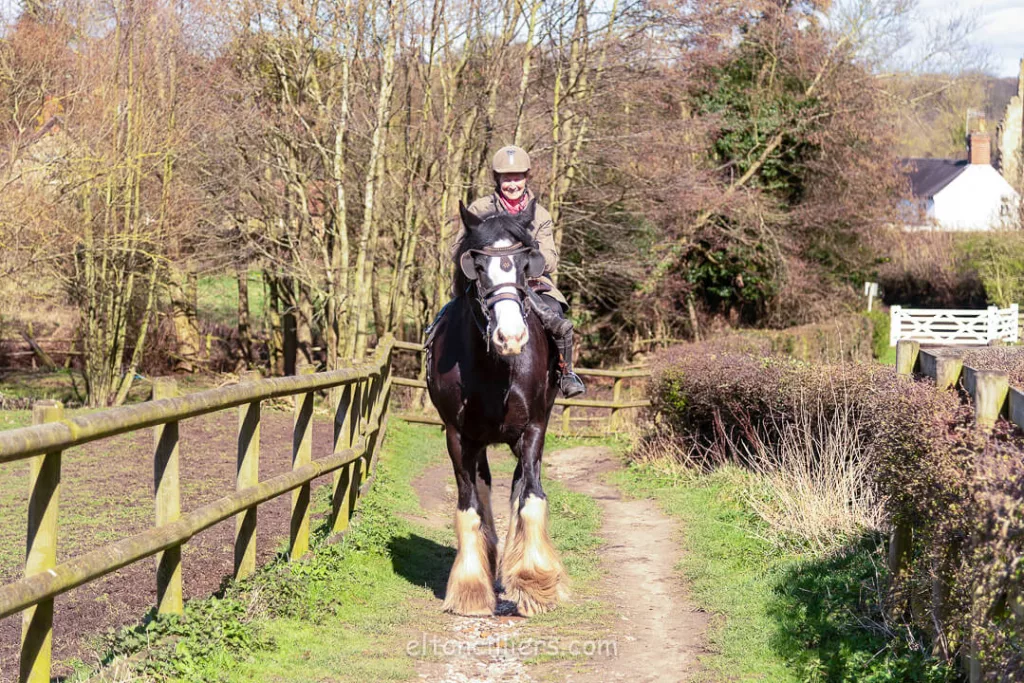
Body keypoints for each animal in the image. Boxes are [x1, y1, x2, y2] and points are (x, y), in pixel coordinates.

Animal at [424, 199, 568, 617]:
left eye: (524, 265)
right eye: (477, 267)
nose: (511, 337)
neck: (495, 367)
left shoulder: (533, 428)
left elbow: (531, 498)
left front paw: (536, 581)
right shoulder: (458, 437)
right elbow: (469, 506)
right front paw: (471, 588)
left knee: (520, 485)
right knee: (485, 489)